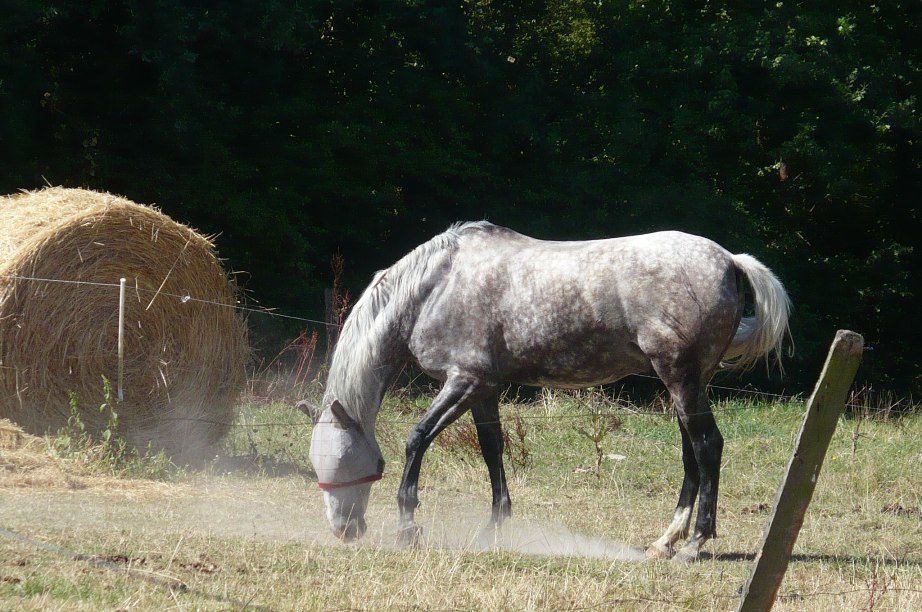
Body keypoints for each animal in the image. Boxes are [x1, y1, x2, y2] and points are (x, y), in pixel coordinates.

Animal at [298, 222, 788, 560]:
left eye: (354, 463)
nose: (342, 530)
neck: (435, 287)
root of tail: (729, 260)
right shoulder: (484, 389)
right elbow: (492, 450)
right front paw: (494, 527)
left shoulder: (463, 382)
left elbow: (417, 439)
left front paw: (407, 527)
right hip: (688, 383)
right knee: (692, 454)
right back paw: (665, 541)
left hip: (681, 378)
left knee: (708, 447)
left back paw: (694, 543)